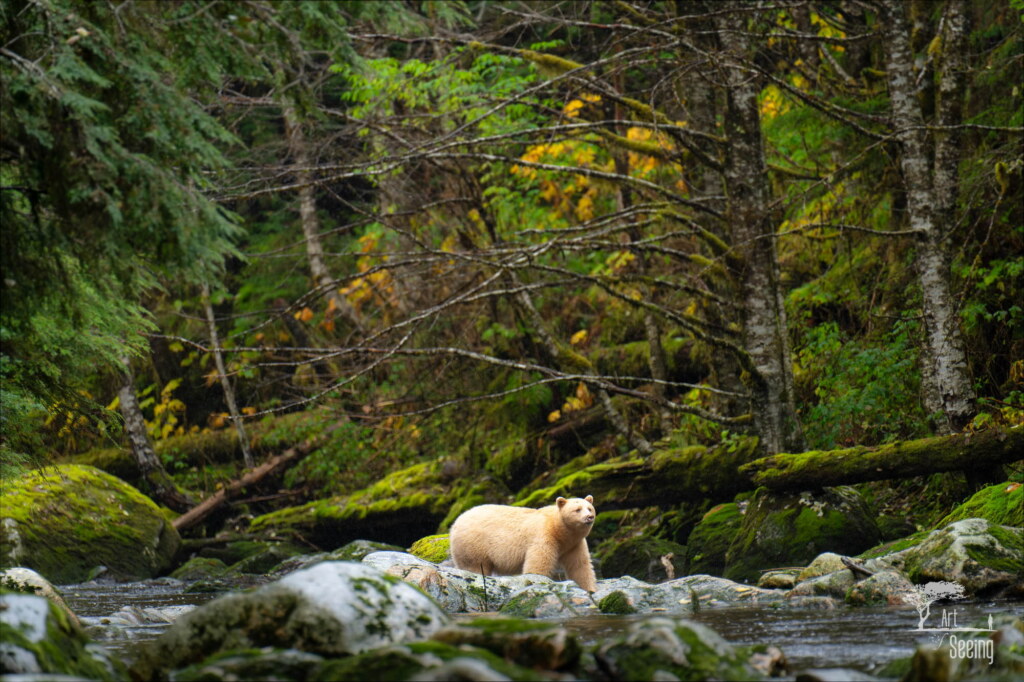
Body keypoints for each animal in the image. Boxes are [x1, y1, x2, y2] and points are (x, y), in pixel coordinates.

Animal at [448, 495, 598, 592]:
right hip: (473, 544)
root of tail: (456, 522)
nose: (589, 517)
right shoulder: (543, 535)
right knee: (475, 567)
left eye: (589, 508)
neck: (559, 530)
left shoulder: (574, 544)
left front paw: (589, 589)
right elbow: (539, 562)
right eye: (577, 509)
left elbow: (580, 566)